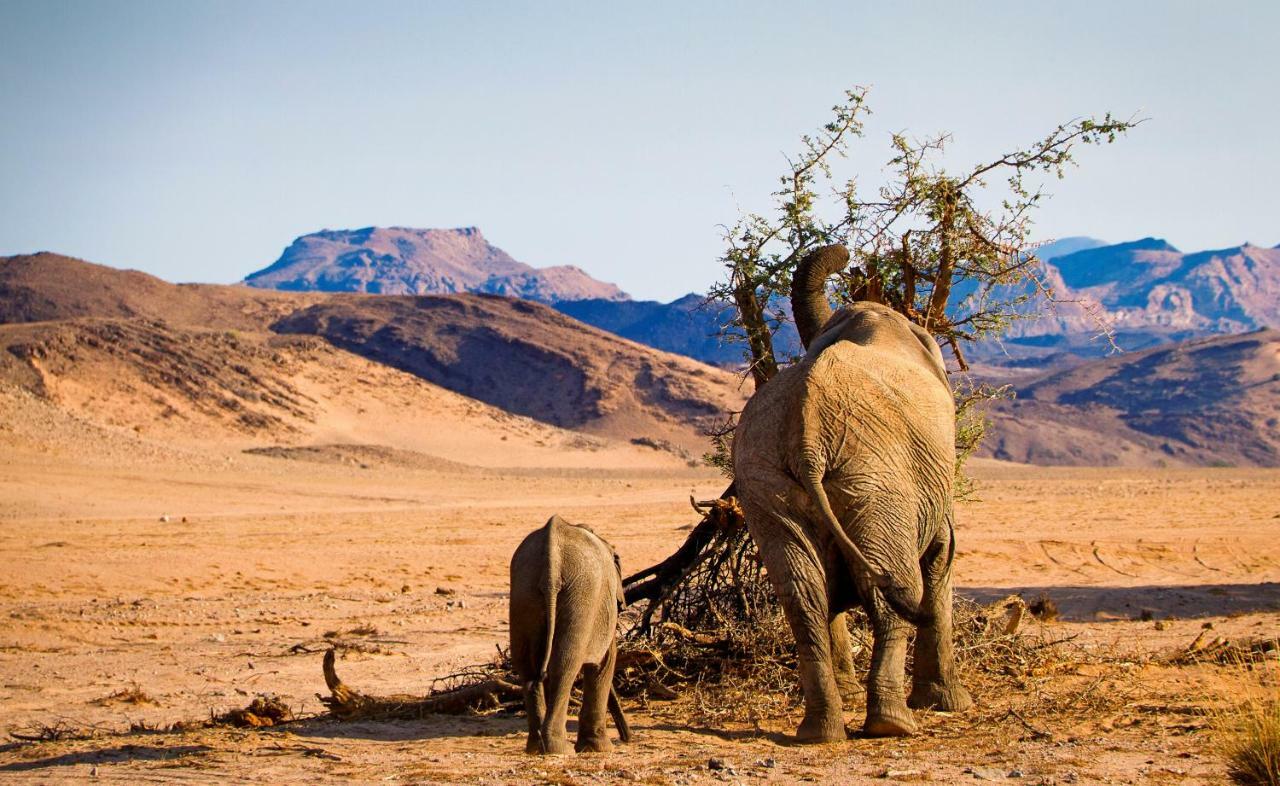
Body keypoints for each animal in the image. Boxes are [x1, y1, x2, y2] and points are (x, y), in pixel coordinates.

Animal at [509, 517, 629, 757]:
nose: (627, 739)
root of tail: (551, 564)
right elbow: (605, 661)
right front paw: (599, 749)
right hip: (582, 595)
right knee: (565, 665)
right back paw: (558, 748)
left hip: (523, 592)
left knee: (529, 668)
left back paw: (536, 747)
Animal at [732, 243, 967, 742]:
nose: (845, 257)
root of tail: (806, 436)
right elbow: (942, 555)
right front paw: (948, 705)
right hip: (876, 483)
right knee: (893, 589)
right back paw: (891, 724)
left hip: (767, 483)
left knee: (803, 596)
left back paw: (820, 731)